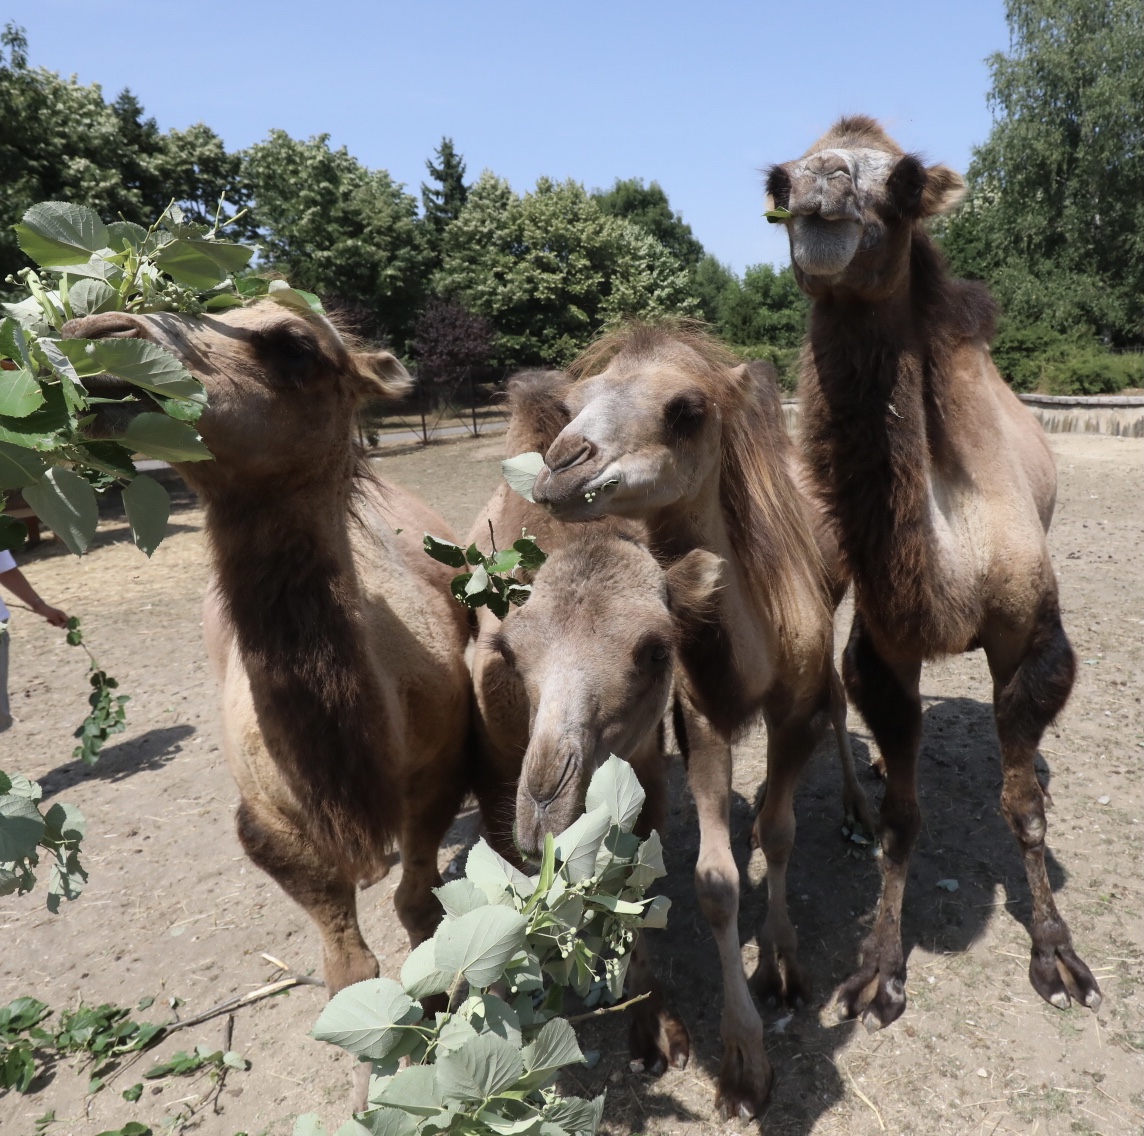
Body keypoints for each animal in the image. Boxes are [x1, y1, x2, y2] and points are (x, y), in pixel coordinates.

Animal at [63, 302, 473, 1098]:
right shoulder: (270, 823)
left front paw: (439, 1018)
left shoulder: (439, 772)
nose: (97, 336)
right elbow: (348, 969)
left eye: (296, 345)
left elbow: (420, 908)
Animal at [768, 115, 1098, 1029]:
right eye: (778, 179)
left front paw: (1057, 955)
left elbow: (1022, 811)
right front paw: (879, 970)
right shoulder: (885, 647)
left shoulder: (1033, 640)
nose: (814, 189)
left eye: (908, 182)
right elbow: (900, 819)